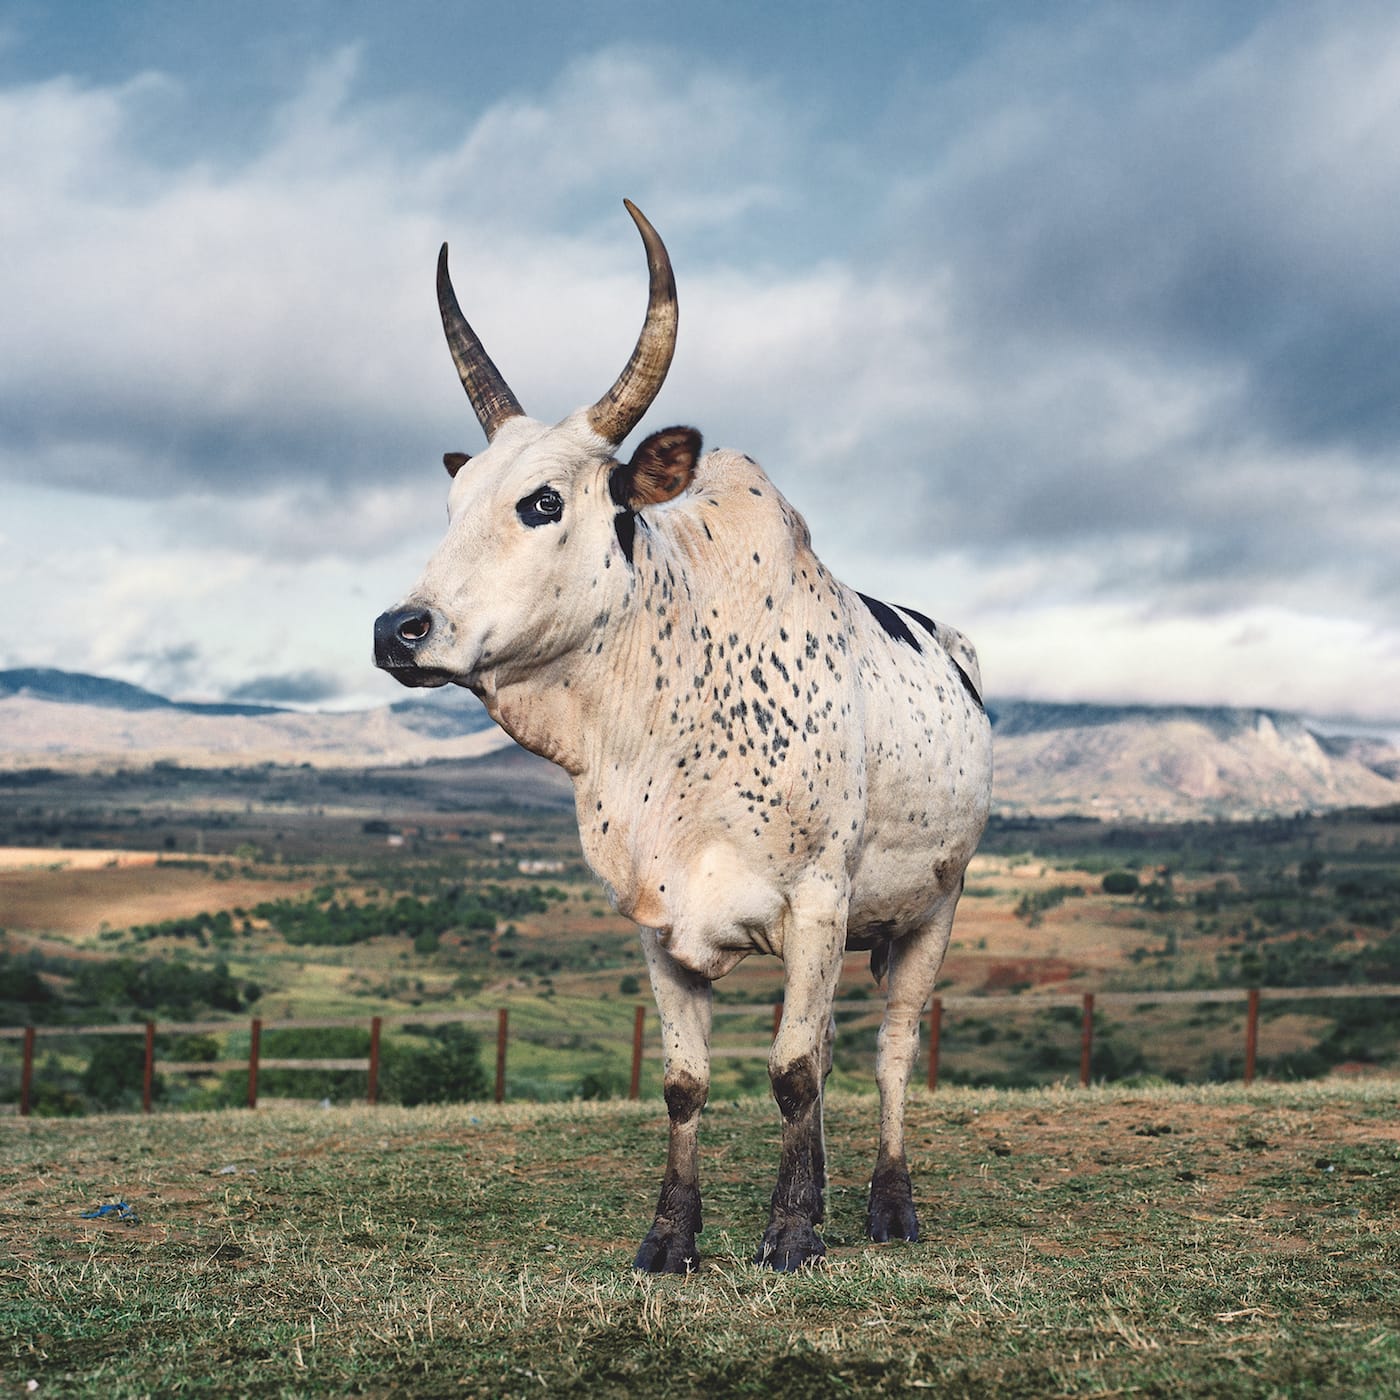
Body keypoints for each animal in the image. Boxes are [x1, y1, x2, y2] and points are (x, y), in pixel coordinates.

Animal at [374, 201, 993, 1272]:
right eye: (451, 505)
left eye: (543, 501)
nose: (399, 630)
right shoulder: (655, 921)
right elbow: (687, 1082)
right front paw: (673, 1236)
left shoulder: (819, 902)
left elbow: (792, 1071)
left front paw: (791, 1230)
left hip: (933, 907)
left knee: (889, 1051)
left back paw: (887, 1203)